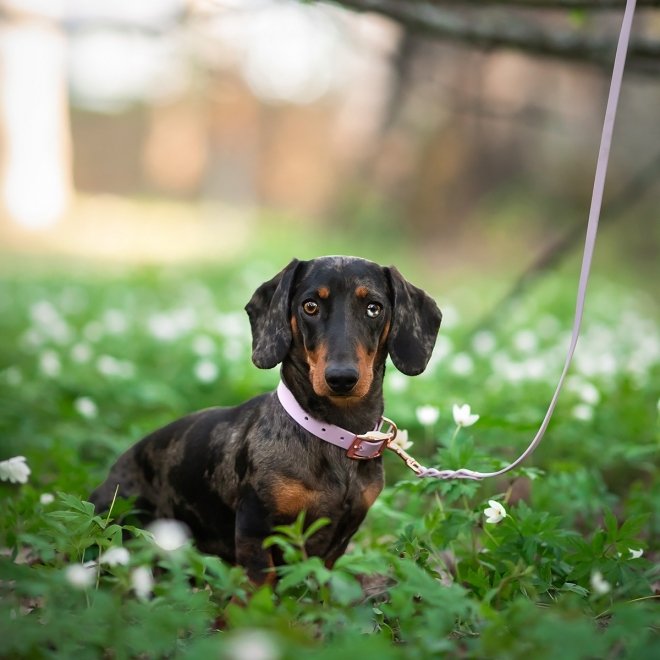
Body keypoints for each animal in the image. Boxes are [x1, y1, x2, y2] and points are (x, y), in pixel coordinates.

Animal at [90, 258, 440, 584]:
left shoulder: (342, 535)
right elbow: (260, 582)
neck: (336, 434)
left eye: (373, 308)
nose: (342, 378)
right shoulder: (254, 525)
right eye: (310, 305)